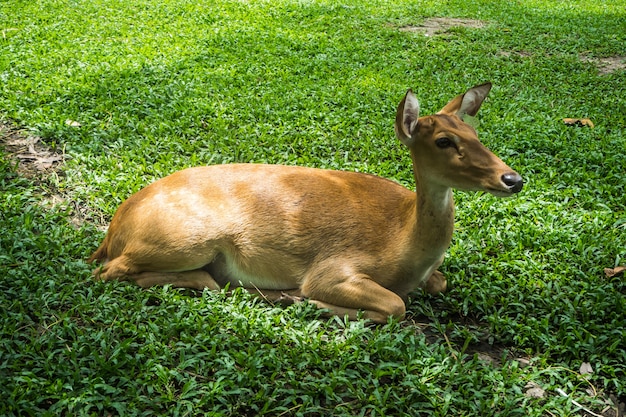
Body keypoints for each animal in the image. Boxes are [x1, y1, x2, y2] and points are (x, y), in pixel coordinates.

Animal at [88, 81, 520, 322]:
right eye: (444, 141)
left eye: (475, 132)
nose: (512, 179)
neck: (404, 244)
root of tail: (112, 231)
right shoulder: (333, 268)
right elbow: (396, 305)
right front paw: (311, 303)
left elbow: (439, 283)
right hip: (186, 238)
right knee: (110, 271)